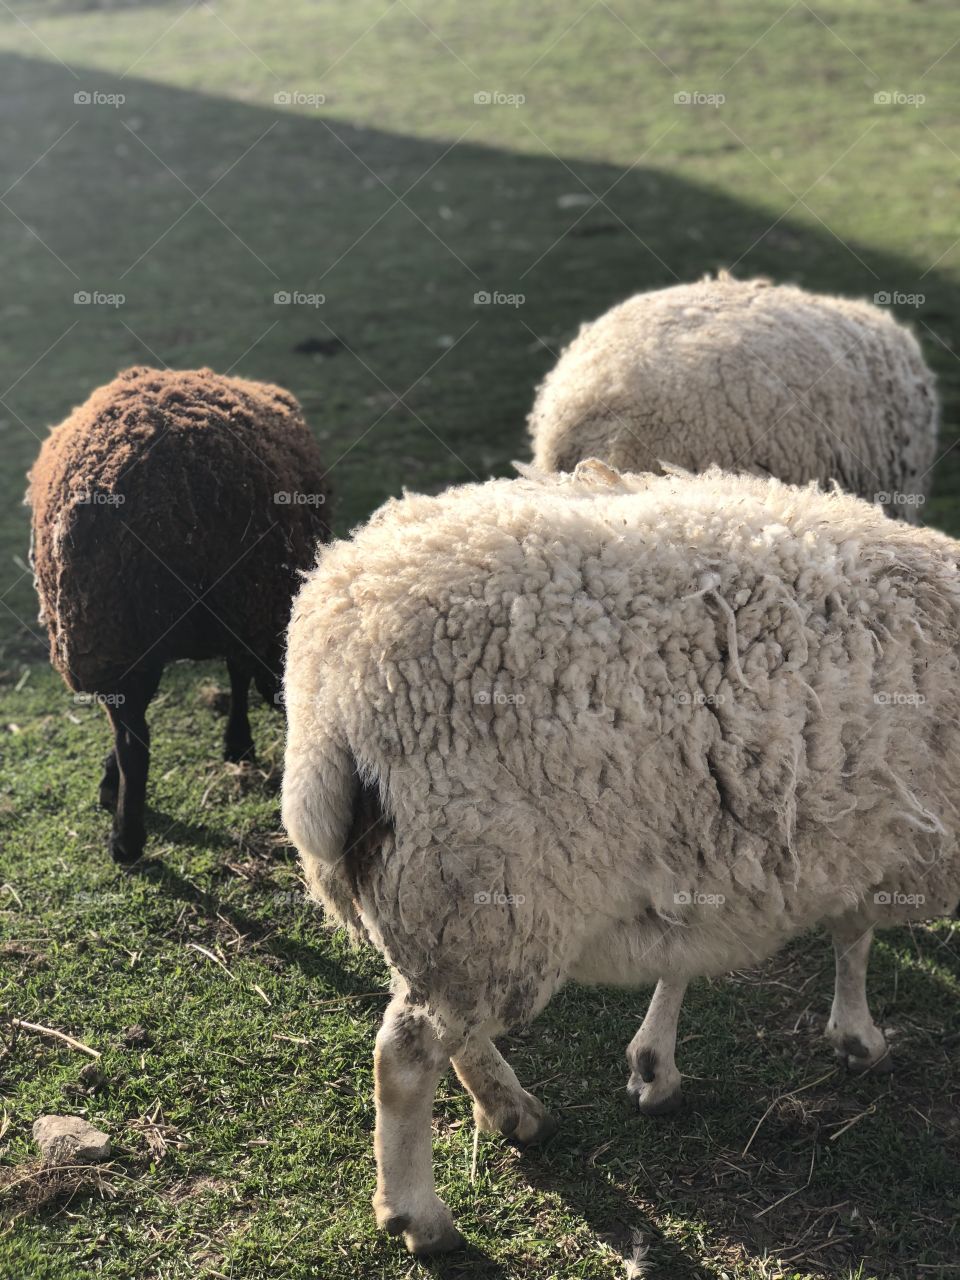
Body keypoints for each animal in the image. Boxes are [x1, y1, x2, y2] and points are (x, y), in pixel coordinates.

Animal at [281, 459, 960, 1255]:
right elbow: (854, 935)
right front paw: (856, 1035)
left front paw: (654, 1063)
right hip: (486, 884)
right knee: (406, 1055)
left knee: (441, 1024)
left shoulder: (713, 834)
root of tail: (330, 679)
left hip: (435, 893)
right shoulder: (869, 827)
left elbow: (710, 949)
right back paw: (420, 1215)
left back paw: (511, 1110)